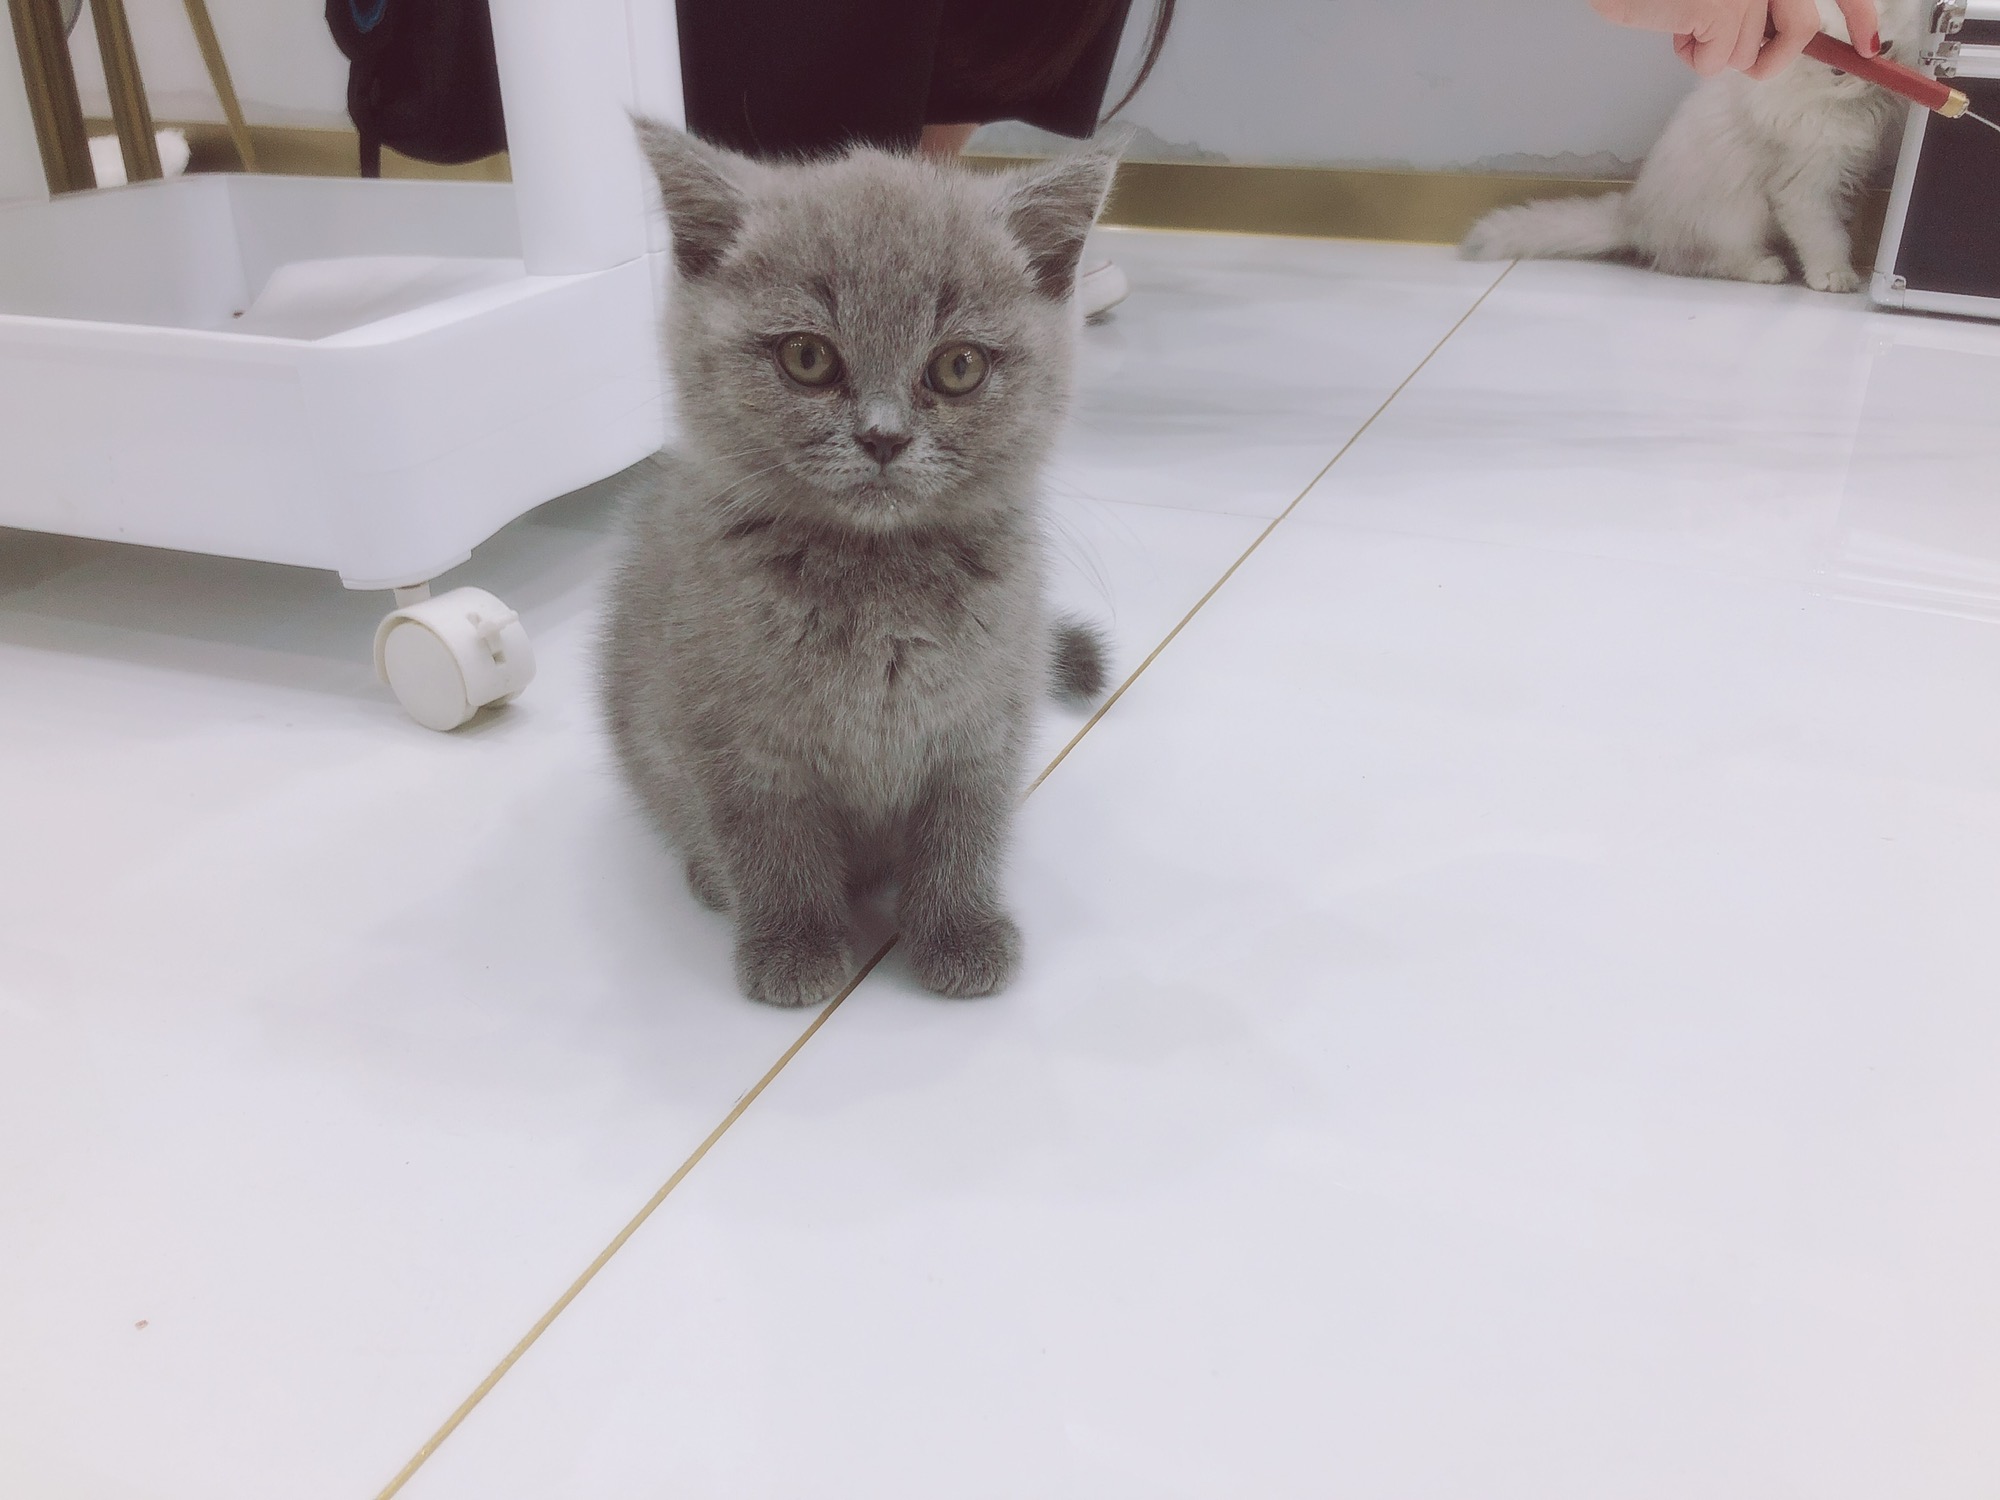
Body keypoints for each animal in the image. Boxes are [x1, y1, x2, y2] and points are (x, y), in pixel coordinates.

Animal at [602, 123, 1116, 1008]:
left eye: (958, 367)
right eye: (807, 357)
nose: (882, 436)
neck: (878, 583)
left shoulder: (987, 719)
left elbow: (966, 831)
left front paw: (958, 931)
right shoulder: (729, 735)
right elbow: (767, 842)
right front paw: (793, 944)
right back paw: (710, 878)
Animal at [1462, 0, 1923, 291]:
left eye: (1883, 48)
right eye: (1837, 70)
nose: (1872, 80)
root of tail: (1635, 212)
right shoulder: (1804, 187)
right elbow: (1825, 237)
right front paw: (1834, 276)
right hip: (1738, 215)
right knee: (1698, 262)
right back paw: (1765, 269)